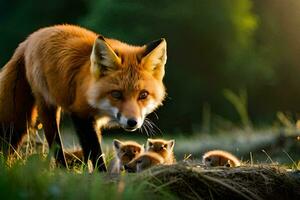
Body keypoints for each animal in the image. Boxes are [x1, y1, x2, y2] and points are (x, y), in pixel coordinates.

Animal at [0, 24, 166, 172]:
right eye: (116, 94)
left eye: (143, 95)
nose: (132, 122)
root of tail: (30, 38)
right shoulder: (80, 113)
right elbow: (95, 151)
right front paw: (101, 173)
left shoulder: (93, 122)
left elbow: (89, 150)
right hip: (46, 109)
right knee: (55, 143)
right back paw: (63, 169)